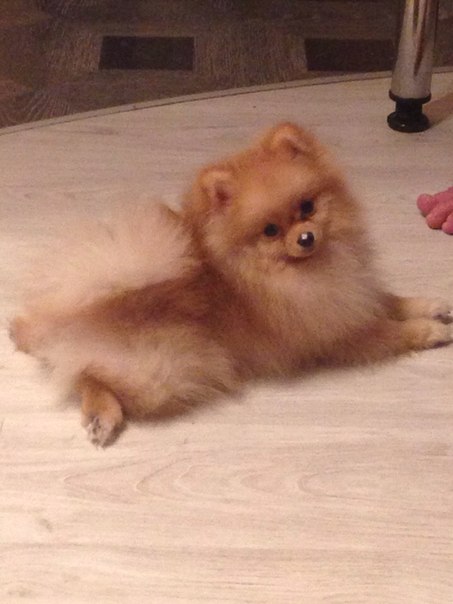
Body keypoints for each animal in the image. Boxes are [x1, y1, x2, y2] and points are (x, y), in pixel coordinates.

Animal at [10, 123, 452, 446]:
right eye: (270, 231)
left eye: (307, 207)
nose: (306, 237)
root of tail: (86, 306)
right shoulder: (338, 334)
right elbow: (392, 332)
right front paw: (431, 331)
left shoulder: (352, 295)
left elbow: (392, 301)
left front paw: (433, 306)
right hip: (163, 369)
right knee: (87, 374)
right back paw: (103, 413)